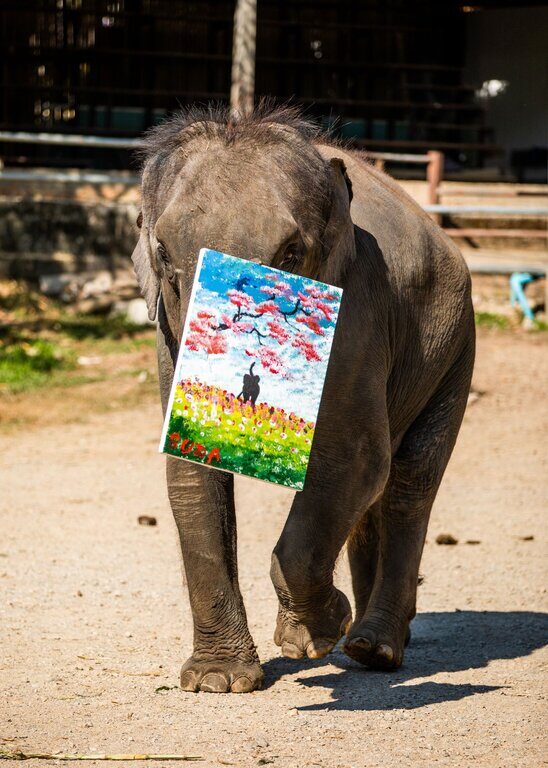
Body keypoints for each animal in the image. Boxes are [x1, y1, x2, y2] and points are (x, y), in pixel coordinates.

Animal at [131, 103, 475, 694]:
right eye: (163, 253)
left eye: (292, 252)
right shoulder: (168, 332)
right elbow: (190, 474)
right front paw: (216, 682)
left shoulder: (357, 308)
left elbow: (353, 458)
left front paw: (312, 636)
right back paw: (365, 639)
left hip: (455, 347)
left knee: (409, 480)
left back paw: (374, 646)